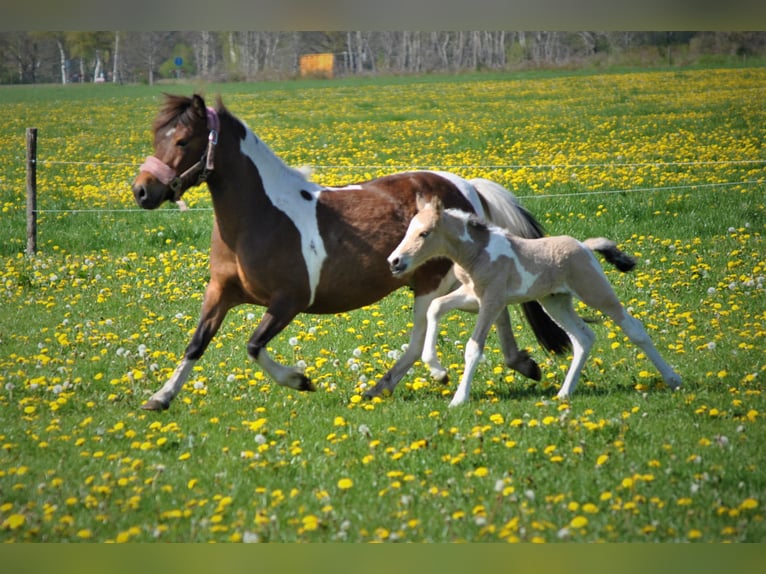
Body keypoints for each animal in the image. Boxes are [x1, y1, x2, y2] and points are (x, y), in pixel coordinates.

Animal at [130, 93, 569, 411]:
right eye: (156, 137)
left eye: (182, 140)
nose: (142, 191)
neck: (260, 217)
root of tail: (467, 188)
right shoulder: (220, 292)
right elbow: (196, 343)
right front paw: (160, 398)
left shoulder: (288, 300)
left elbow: (254, 345)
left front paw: (300, 380)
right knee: (493, 308)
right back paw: (522, 363)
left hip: (429, 283)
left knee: (422, 338)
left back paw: (387, 385)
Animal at [388, 194, 682, 407]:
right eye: (409, 229)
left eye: (424, 233)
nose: (395, 261)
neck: (478, 253)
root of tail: (585, 247)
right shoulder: (471, 296)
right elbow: (435, 308)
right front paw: (438, 371)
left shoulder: (492, 301)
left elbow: (473, 347)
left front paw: (458, 399)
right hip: (555, 302)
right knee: (583, 338)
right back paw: (564, 393)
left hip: (595, 292)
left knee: (633, 328)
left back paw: (673, 378)